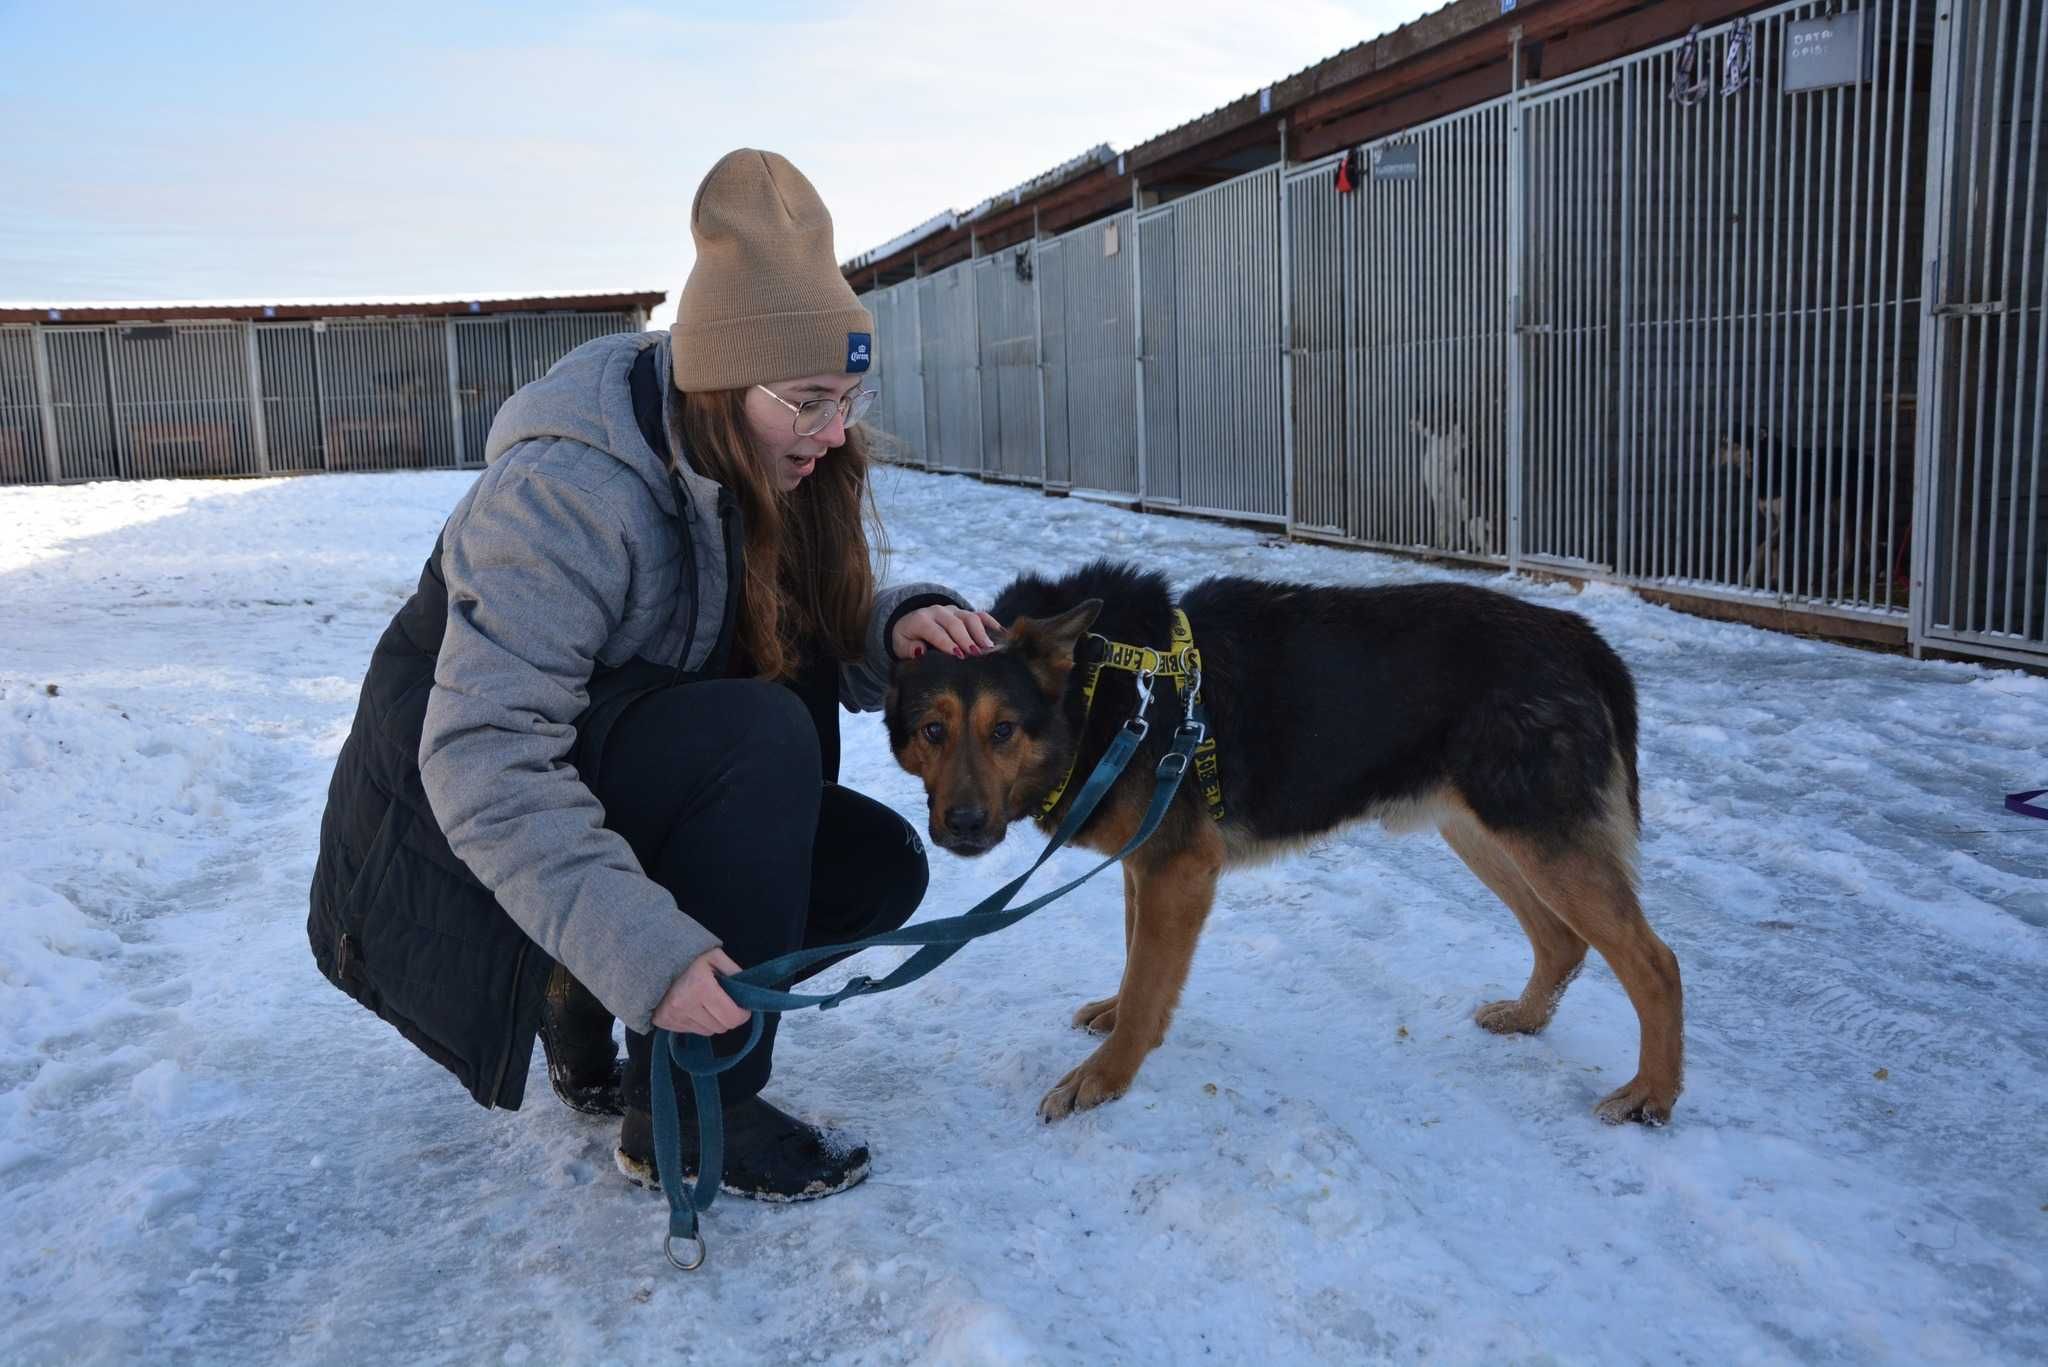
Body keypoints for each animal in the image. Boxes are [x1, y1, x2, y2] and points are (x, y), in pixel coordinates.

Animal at [888, 561, 1687, 1131]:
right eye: (933, 730)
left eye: (1002, 730)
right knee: (1563, 941)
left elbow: (1149, 982)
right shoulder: (1146, 865)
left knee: (1655, 962)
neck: (1100, 687)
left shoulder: (1179, 869)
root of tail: (1580, 637)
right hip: (1482, 829)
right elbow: (1135, 957)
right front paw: (1117, 1021)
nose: (963, 824)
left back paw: (1651, 1094)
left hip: (1533, 835)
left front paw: (1105, 1076)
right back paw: (1526, 1019)